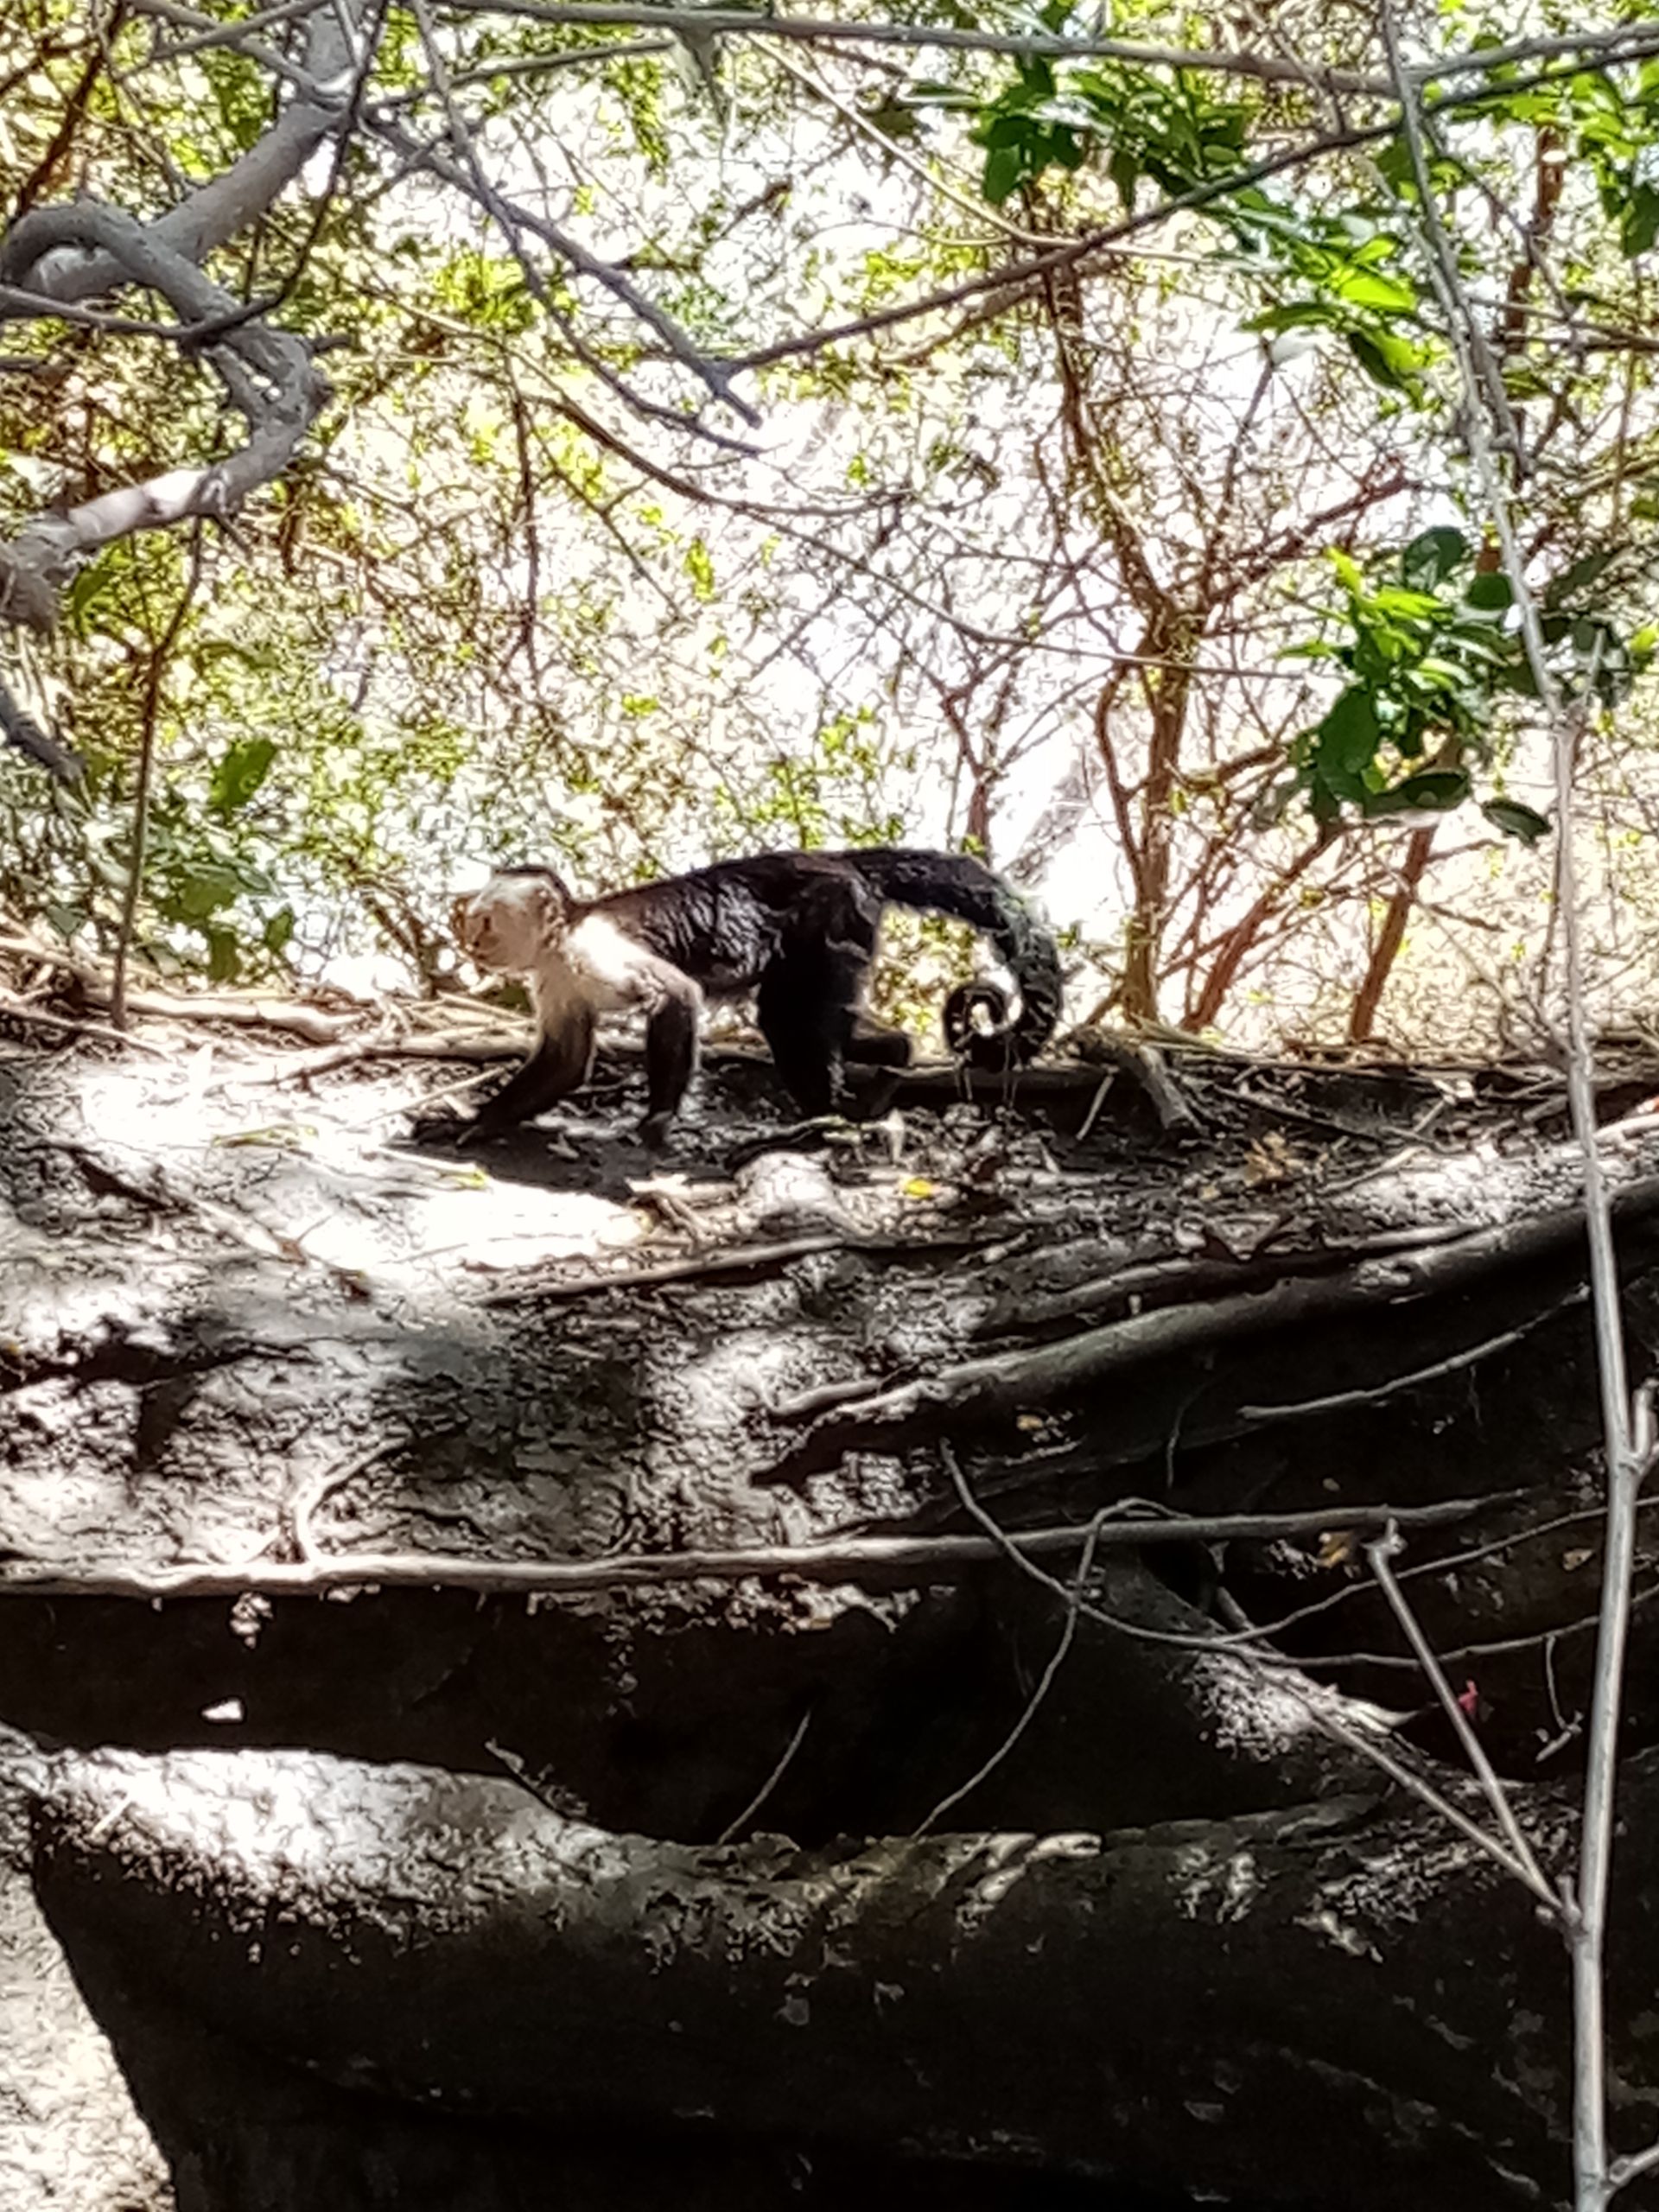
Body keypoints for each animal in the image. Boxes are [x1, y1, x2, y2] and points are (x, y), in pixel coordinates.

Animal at [444, 846, 1063, 1147]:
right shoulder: (554, 977)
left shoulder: (593, 949)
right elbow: (566, 1059)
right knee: (819, 1017)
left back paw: (821, 1121)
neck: (563, 935)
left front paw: (657, 1121)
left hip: (834, 913)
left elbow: (677, 996)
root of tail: (838, 860)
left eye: (486, 923)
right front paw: (482, 1122)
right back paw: (892, 1060)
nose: (470, 941)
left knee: (789, 1018)